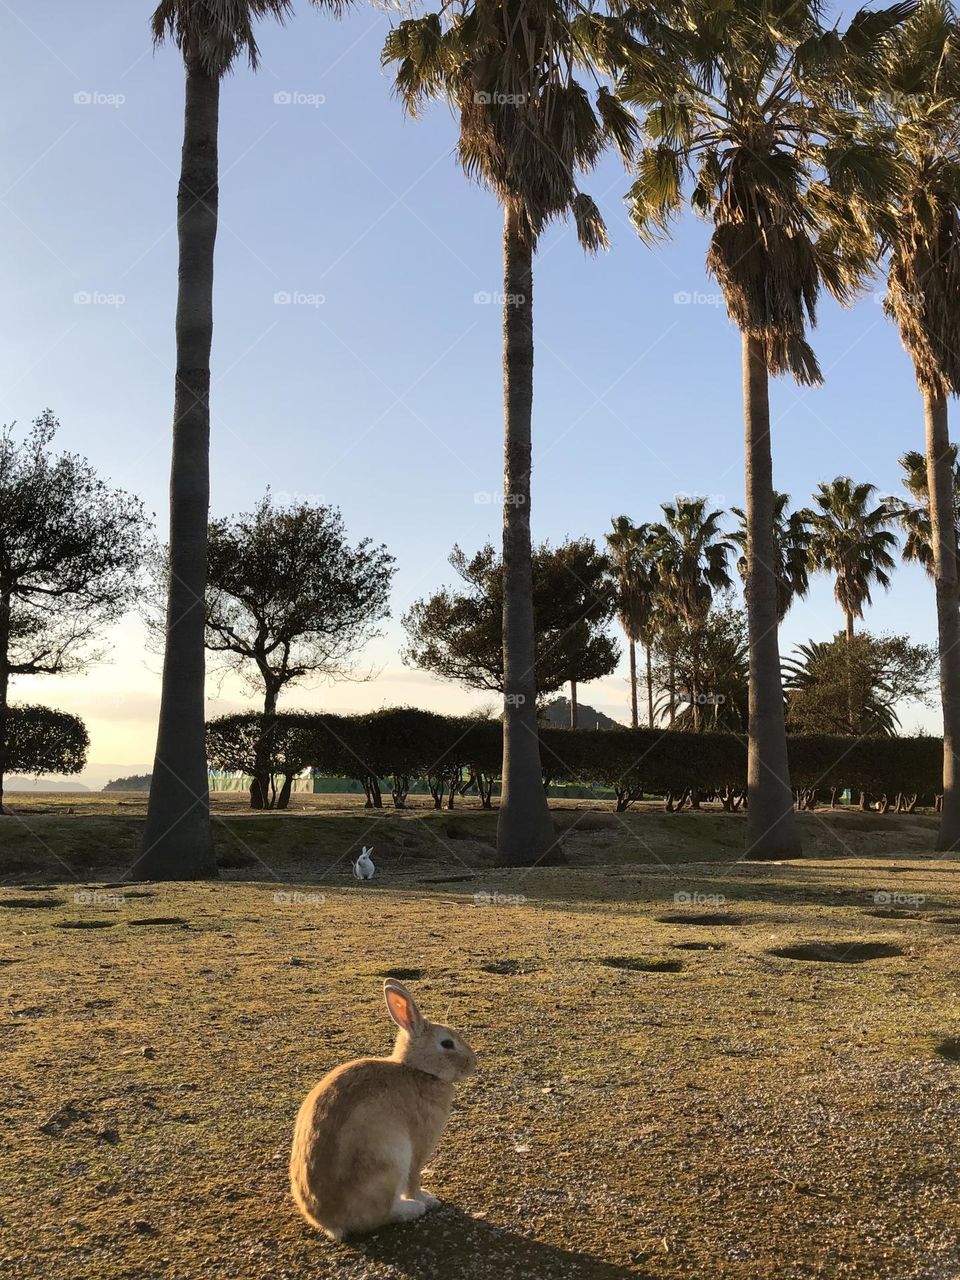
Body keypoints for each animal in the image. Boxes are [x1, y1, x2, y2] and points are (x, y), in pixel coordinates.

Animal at [289, 979, 476, 1240]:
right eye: (447, 1043)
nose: (473, 1063)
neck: (419, 1071)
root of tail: (331, 1223)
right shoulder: (419, 1148)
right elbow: (414, 1179)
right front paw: (427, 1199)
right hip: (390, 1162)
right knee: (382, 1214)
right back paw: (413, 1208)